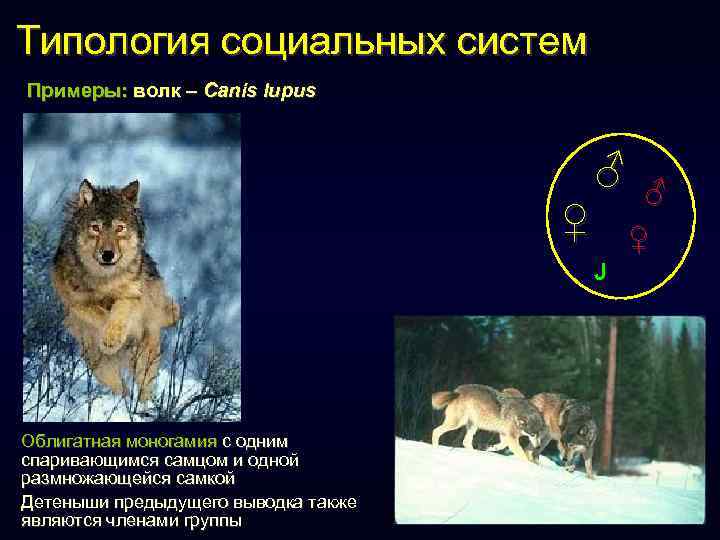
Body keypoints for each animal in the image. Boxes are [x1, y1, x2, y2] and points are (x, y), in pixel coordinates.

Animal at [51, 179, 180, 402]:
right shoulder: (75, 302)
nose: (108, 254)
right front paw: (110, 340)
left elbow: (119, 311)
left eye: (120, 228)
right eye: (96, 228)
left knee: (144, 388)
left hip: (146, 357)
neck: (105, 280)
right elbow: (98, 313)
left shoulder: (132, 295)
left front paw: (114, 337)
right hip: (99, 366)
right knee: (120, 387)